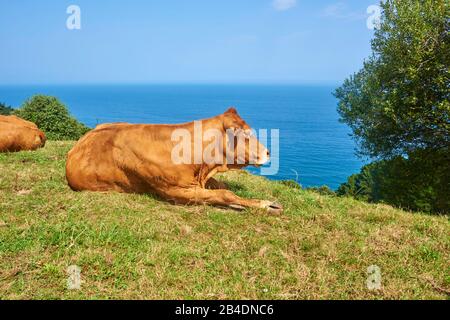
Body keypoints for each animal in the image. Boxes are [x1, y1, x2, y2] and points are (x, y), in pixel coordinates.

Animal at [65, 108, 284, 215]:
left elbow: (222, 187)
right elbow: (225, 194)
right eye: (246, 134)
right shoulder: (175, 190)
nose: (268, 152)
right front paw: (266, 205)